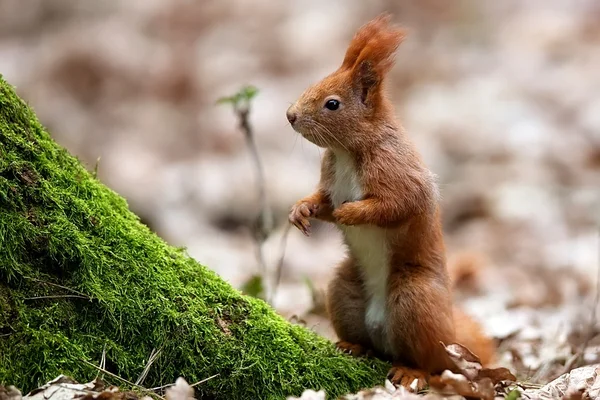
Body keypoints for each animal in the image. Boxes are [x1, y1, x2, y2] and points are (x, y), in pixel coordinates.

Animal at [286, 14, 496, 388]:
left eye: (332, 103)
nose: (290, 115)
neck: (347, 152)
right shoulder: (330, 178)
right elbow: (323, 202)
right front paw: (301, 209)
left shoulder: (397, 172)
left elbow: (396, 205)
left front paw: (352, 213)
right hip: (344, 290)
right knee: (367, 338)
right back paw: (352, 345)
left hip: (415, 298)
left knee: (429, 362)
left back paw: (411, 370)